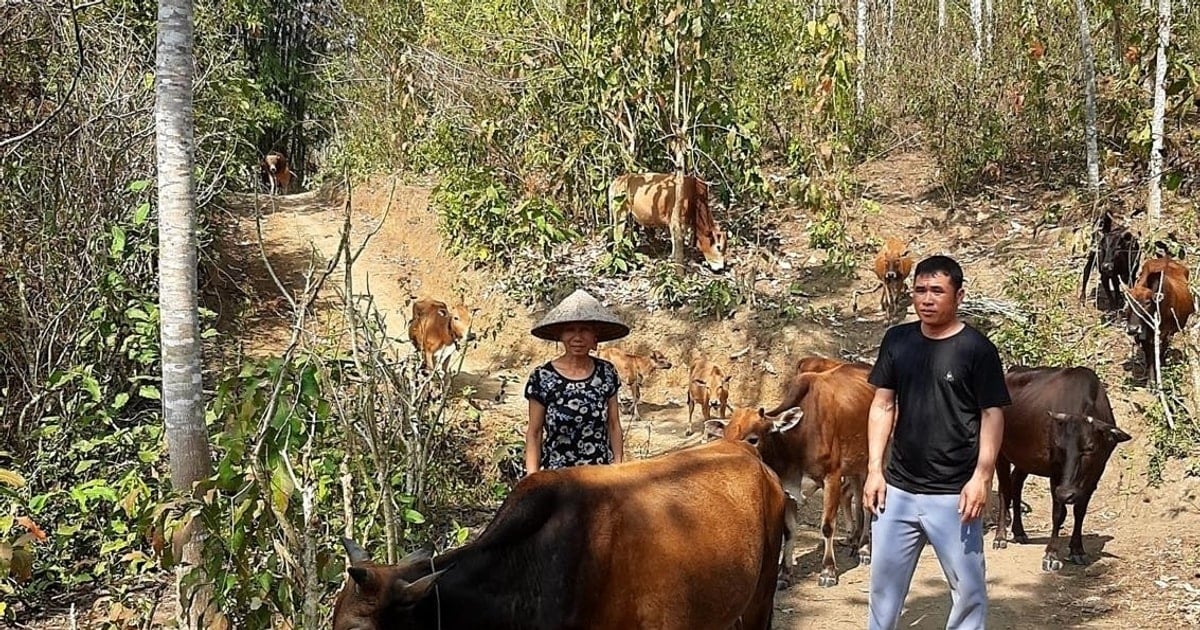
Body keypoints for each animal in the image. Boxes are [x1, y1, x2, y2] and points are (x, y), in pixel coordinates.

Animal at [710, 364, 873, 588]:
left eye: (753, 439)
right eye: (726, 436)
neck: (796, 439)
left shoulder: (832, 477)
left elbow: (827, 526)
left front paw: (828, 571)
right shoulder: (787, 489)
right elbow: (789, 532)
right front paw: (784, 573)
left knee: (866, 506)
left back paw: (865, 549)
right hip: (856, 467)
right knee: (855, 496)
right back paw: (855, 541)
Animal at [993, 360, 1132, 571]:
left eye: (1089, 448)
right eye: (1059, 447)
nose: (1065, 493)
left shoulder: (1094, 475)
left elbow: (1080, 511)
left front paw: (1077, 550)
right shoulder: (1055, 473)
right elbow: (1058, 513)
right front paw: (1051, 554)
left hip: (1024, 459)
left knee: (1016, 484)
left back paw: (1019, 532)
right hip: (1000, 453)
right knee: (1004, 490)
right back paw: (1000, 536)